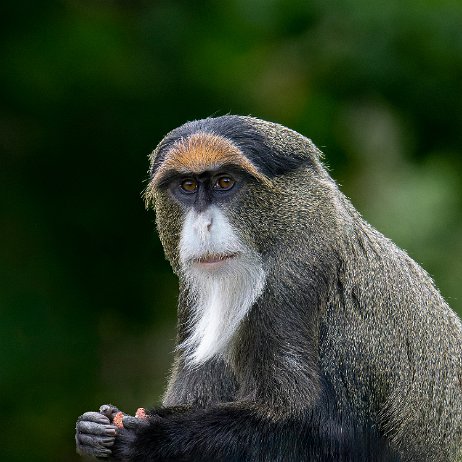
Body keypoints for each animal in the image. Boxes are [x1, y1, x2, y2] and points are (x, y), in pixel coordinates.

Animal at [74, 116, 460, 462]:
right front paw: (92, 429)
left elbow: (326, 435)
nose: (203, 225)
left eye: (225, 182)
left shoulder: (292, 283)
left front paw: (154, 436)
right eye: (187, 186)